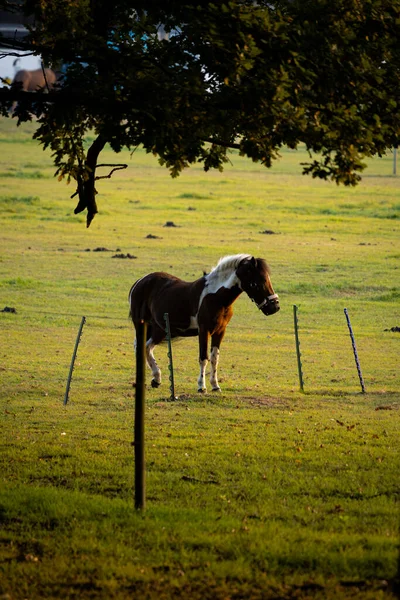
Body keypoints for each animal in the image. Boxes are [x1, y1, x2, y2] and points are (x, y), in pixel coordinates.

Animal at [130, 253, 280, 394]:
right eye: (257, 282)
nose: (275, 307)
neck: (217, 297)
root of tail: (139, 282)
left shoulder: (220, 331)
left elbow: (214, 358)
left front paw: (215, 386)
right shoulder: (204, 330)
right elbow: (203, 358)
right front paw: (201, 387)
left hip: (159, 329)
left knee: (147, 347)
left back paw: (156, 379)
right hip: (143, 324)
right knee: (141, 346)